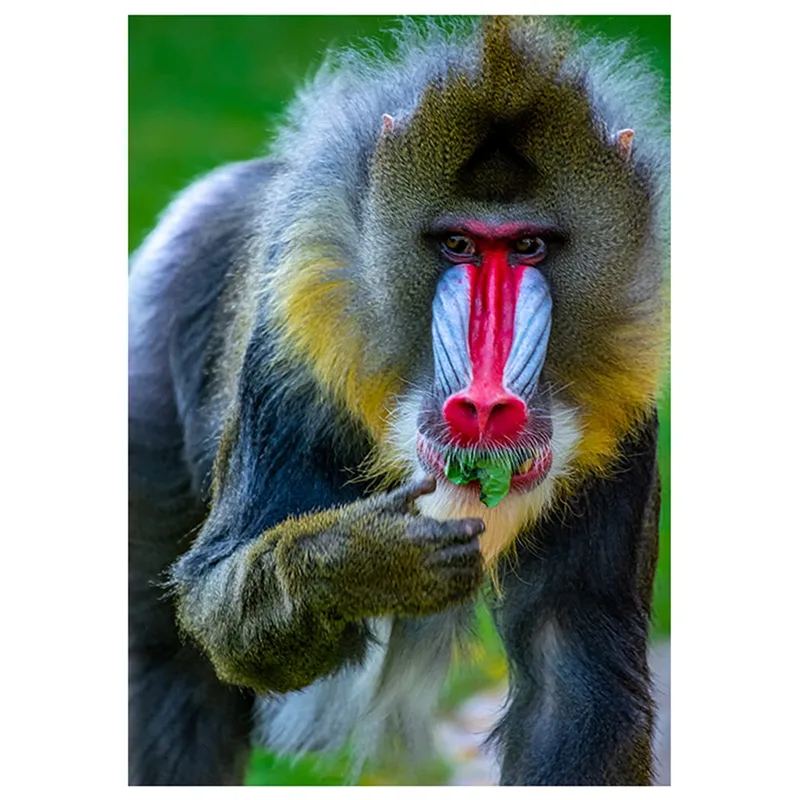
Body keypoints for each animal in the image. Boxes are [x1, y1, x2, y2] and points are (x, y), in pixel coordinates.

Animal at [128, 15, 668, 786]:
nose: (484, 406)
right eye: (458, 244)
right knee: (167, 672)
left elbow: (575, 681)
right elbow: (212, 599)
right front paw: (364, 561)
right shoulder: (294, 340)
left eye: (529, 247)